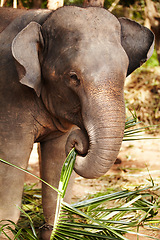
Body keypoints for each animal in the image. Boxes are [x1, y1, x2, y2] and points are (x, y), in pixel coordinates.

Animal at [0, 5, 154, 240]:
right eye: (73, 77)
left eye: (124, 72)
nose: (80, 143)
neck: (43, 18)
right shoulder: (9, 94)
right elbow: (12, 160)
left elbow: (57, 160)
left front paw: (54, 229)